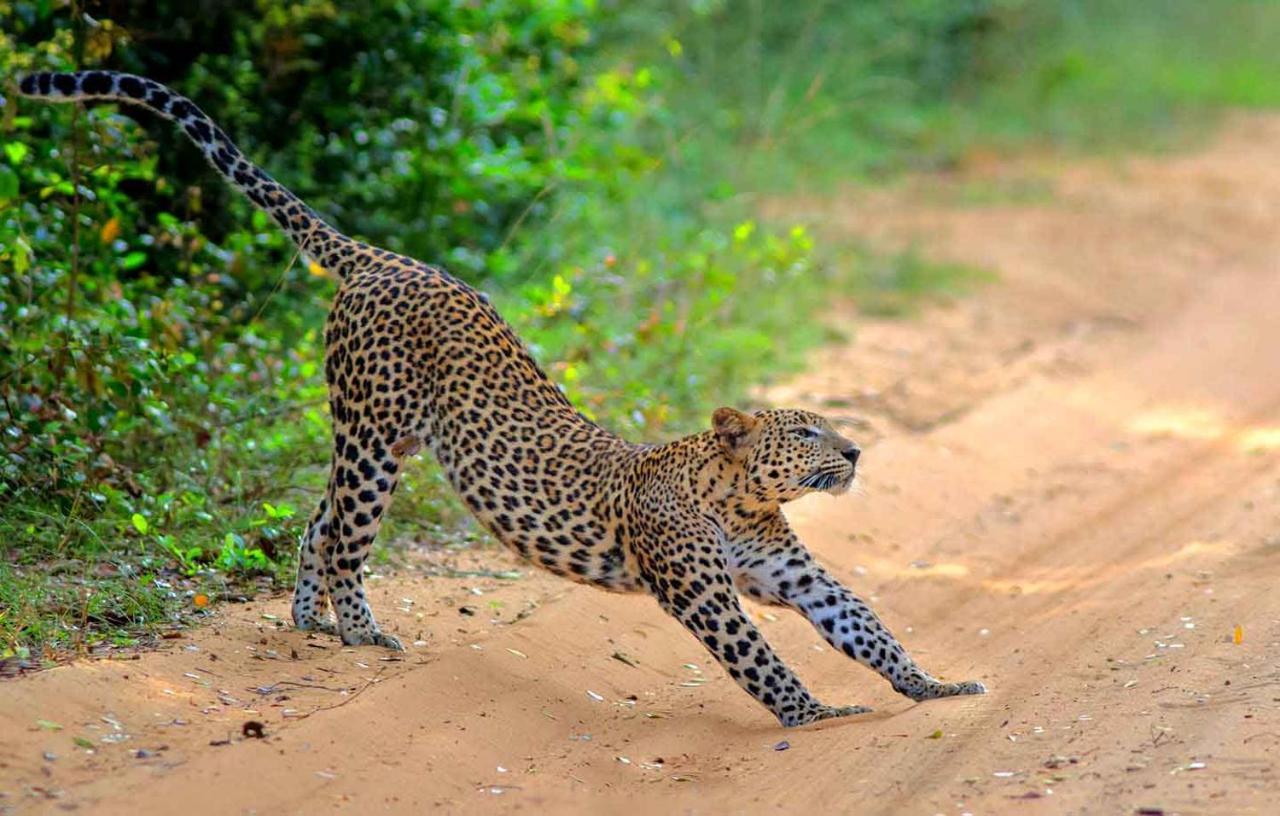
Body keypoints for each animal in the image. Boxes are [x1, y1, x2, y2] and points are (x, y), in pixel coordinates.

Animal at [17, 71, 988, 726]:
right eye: (806, 431)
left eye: (831, 428)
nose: (856, 452)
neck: (737, 497)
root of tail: (381, 257)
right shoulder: (703, 590)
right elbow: (756, 654)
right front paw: (816, 713)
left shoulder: (793, 574)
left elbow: (866, 625)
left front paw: (936, 684)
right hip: (374, 433)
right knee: (346, 537)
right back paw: (361, 633)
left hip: (379, 437)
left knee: (317, 521)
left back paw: (309, 622)